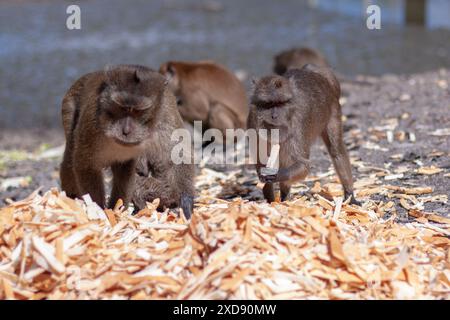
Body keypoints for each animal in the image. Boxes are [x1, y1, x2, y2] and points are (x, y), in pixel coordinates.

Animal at [59, 65, 195, 218]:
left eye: (138, 111)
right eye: (122, 108)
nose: (126, 130)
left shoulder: (166, 111)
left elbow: (176, 156)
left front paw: (186, 200)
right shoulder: (93, 119)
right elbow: (86, 164)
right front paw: (101, 210)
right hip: (69, 106)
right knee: (70, 156)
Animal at [246, 63, 358, 204]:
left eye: (280, 103)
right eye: (268, 104)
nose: (275, 116)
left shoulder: (298, 124)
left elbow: (303, 165)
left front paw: (275, 175)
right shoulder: (252, 124)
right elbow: (260, 159)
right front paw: (266, 186)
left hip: (333, 109)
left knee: (336, 149)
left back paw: (349, 195)